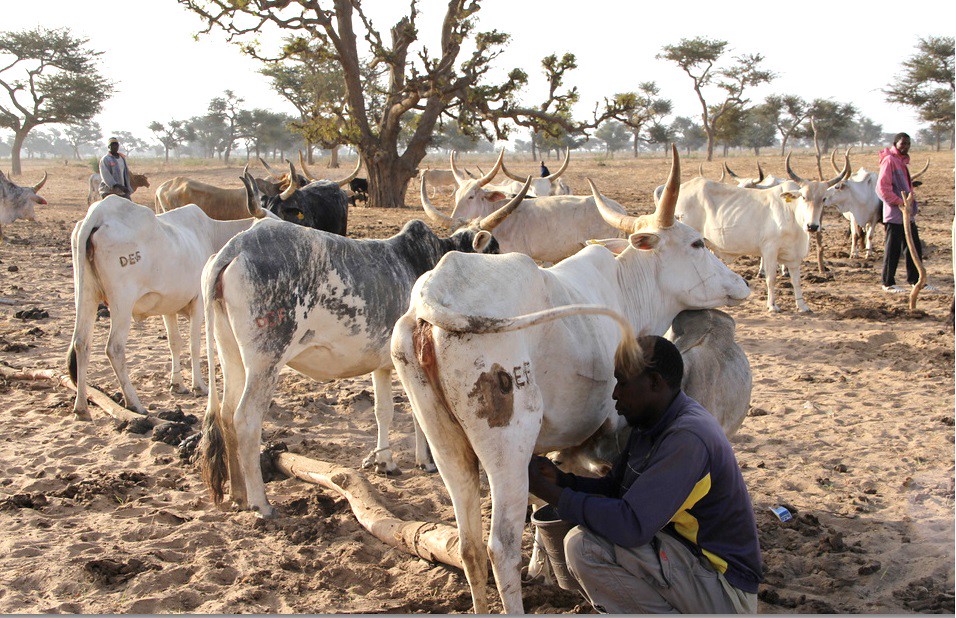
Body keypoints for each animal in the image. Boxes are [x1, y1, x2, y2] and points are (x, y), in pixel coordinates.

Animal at [67, 193, 263, 417]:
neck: (211, 233)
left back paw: (81, 406)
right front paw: (198, 385)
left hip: (86, 295)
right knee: (114, 348)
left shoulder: (168, 308)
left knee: (81, 343)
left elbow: (174, 342)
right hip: (121, 301)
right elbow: (195, 344)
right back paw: (134, 403)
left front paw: (177, 384)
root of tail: (99, 213)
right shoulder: (198, 302)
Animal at [196, 189, 529, 518]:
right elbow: (417, 415)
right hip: (266, 359)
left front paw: (386, 463)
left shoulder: (382, 364)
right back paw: (260, 503)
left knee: (225, 413)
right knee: (245, 418)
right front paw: (425, 461)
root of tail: (236, 246)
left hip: (231, 354)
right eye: (494, 251)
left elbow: (384, 410)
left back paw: (238, 495)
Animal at [674, 152, 850, 313]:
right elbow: (771, 278)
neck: (792, 214)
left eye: (823, 199)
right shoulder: (770, 250)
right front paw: (772, 306)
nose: (812, 226)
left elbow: (796, 280)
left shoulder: (793, 254)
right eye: (803, 197)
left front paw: (802, 306)